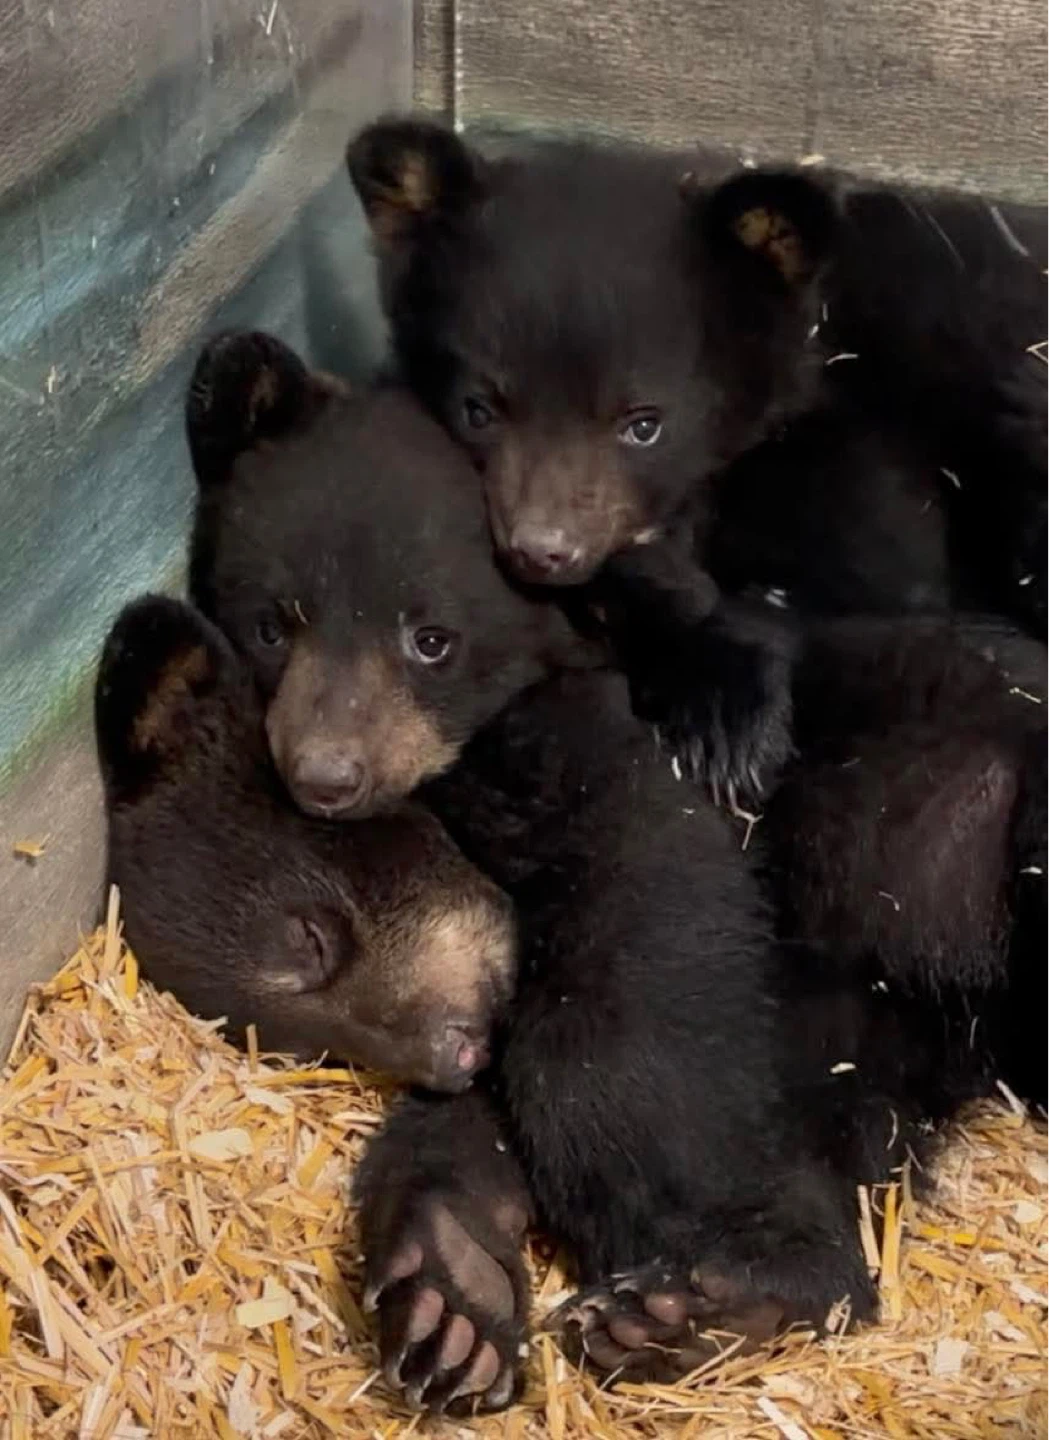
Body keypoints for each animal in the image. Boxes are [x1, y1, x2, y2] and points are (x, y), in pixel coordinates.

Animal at [179, 330, 1037, 1411]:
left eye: (431, 638)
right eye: (271, 624)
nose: (326, 776)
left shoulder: (624, 770)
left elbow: (635, 964)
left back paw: (706, 1296)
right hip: (875, 1031)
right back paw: (458, 1286)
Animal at [345, 116, 1049, 805]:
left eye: (645, 425)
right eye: (478, 409)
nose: (543, 551)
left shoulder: (847, 464)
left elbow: (866, 584)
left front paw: (733, 731)